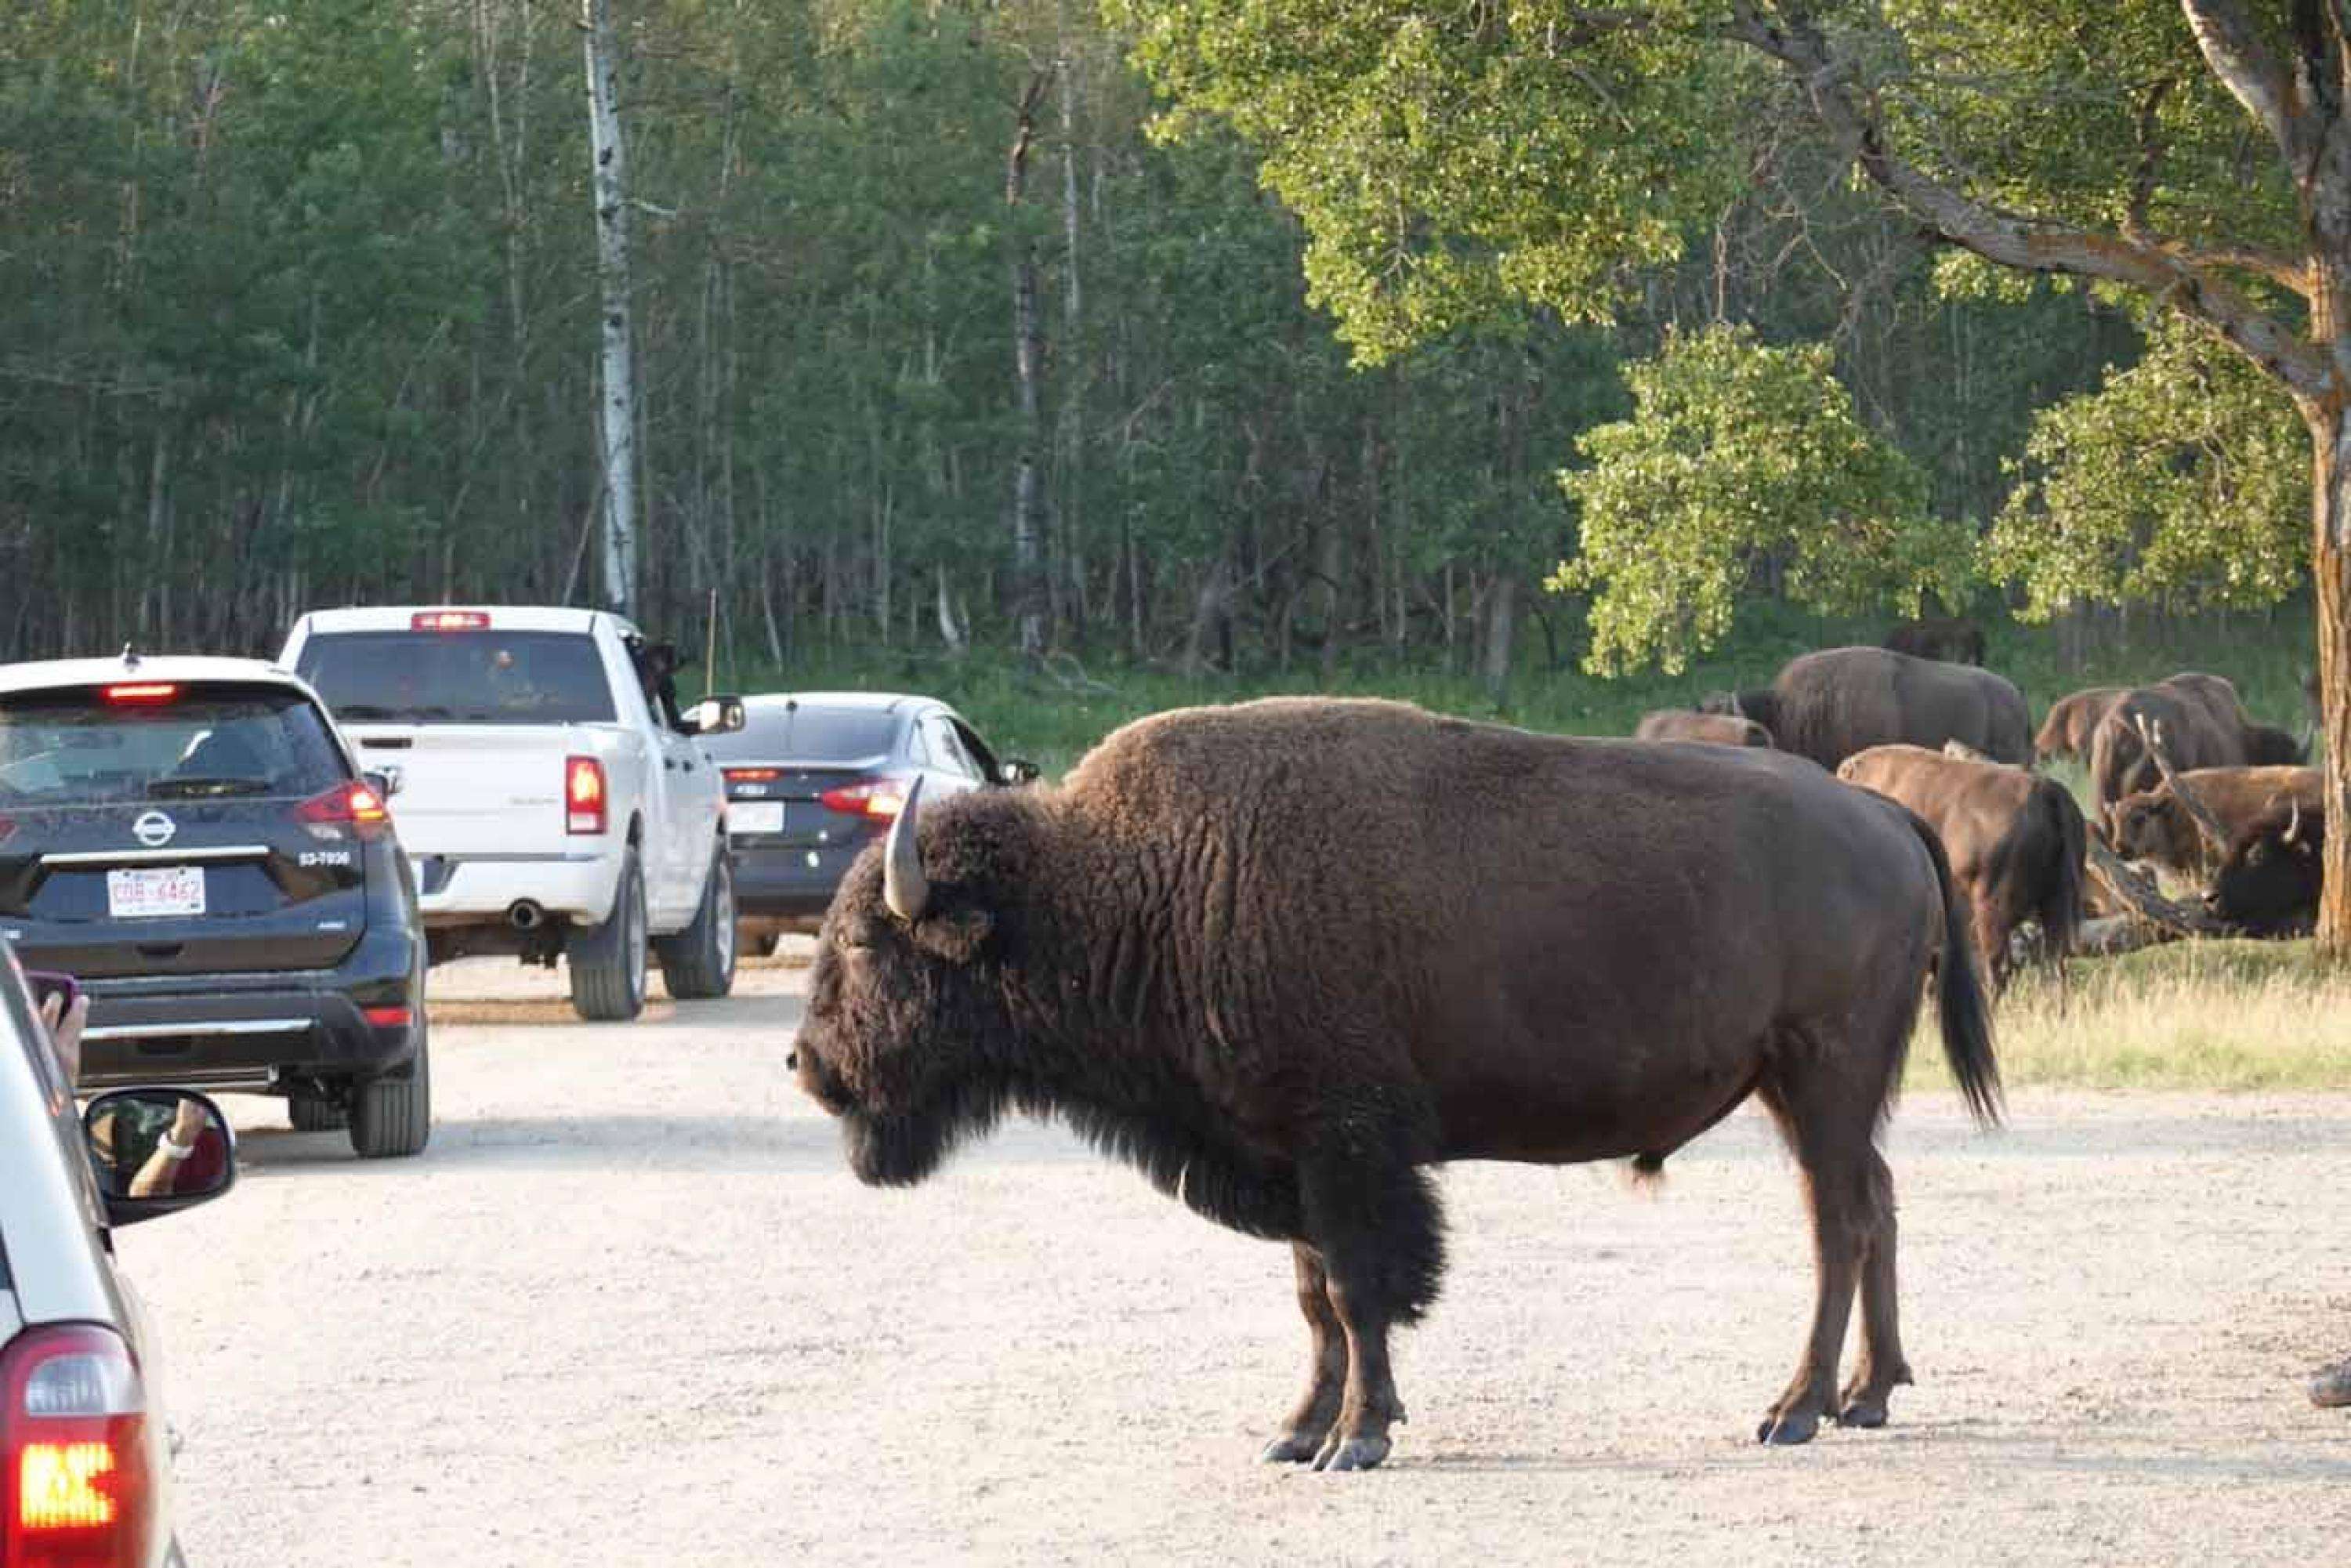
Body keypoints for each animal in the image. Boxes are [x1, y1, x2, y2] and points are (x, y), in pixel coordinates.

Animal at [790, 701, 2003, 1476]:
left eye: (862, 943)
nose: (805, 1065)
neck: (1138, 882)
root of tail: (1885, 815)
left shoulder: (1349, 1152)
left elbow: (1362, 1292)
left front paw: (1359, 1440)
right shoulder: (1287, 1156)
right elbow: (1315, 1300)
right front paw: (1296, 1432)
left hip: (1823, 1073)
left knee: (1839, 1224)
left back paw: (1794, 1411)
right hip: (1809, 1093)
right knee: (1873, 1204)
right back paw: (1867, 1396)